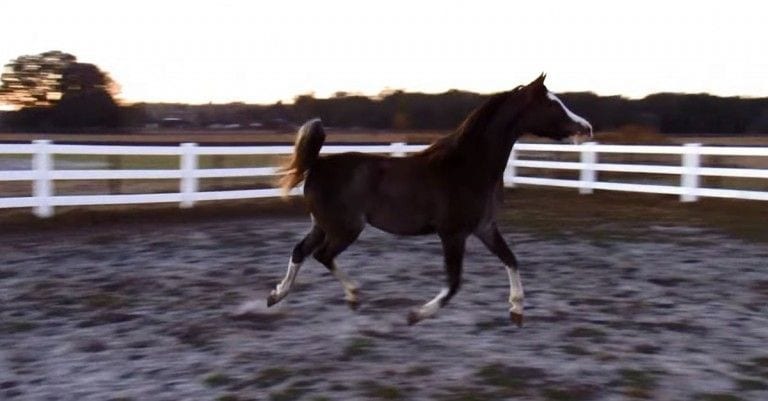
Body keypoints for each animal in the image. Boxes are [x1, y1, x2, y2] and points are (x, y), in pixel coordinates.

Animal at [267, 74, 592, 326]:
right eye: (552, 104)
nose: (586, 128)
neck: (468, 166)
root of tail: (317, 164)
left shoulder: (485, 227)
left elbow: (511, 259)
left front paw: (517, 310)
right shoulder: (452, 234)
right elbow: (454, 283)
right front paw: (416, 315)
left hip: (322, 225)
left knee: (301, 251)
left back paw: (276, 295)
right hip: (345, 229)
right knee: (322, 255)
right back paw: (353, 295)